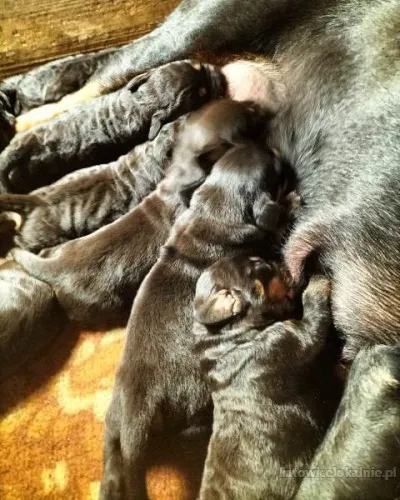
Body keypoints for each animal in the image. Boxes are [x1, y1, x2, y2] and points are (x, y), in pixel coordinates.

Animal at [99, 142, 290, 498]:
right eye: (273, 161)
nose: (271, 144)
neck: (214, 209)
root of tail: (134, 413)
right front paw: (291, 200)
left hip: (113, 434)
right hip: (193, 403)